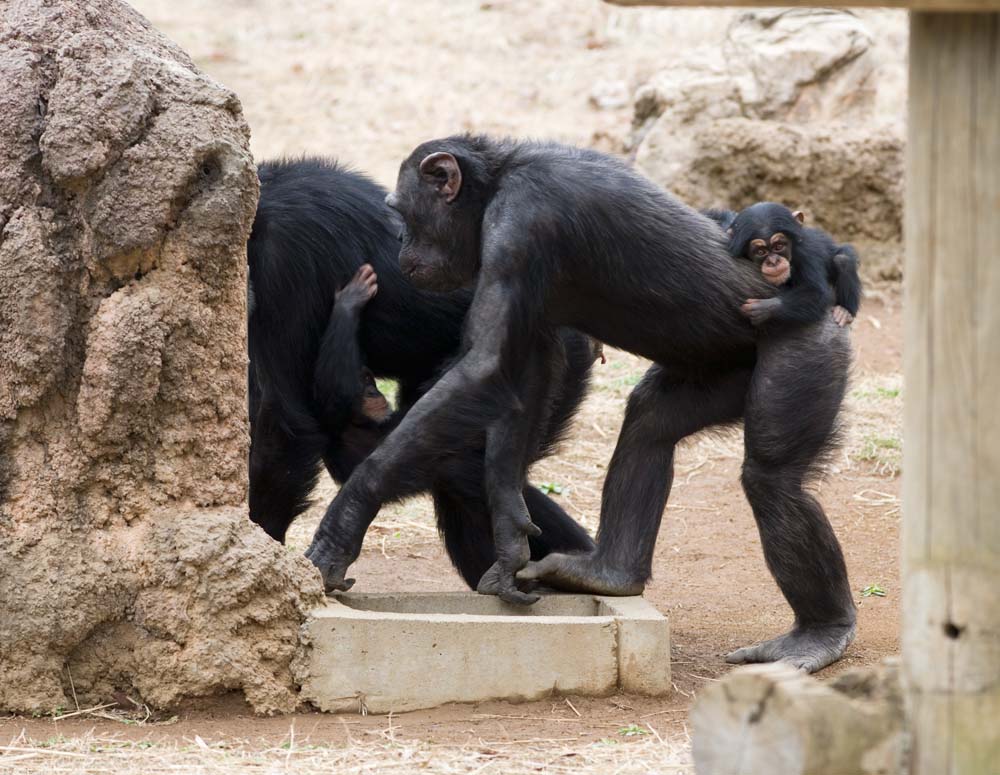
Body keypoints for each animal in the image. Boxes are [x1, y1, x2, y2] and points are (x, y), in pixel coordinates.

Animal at [708, 203, 864, 328]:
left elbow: (815, 292)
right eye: (760, 251)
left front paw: (764, 308)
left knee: (843, 260)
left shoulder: (806, 252)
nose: (773, 261)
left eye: (778, 246)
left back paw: (844, 312)